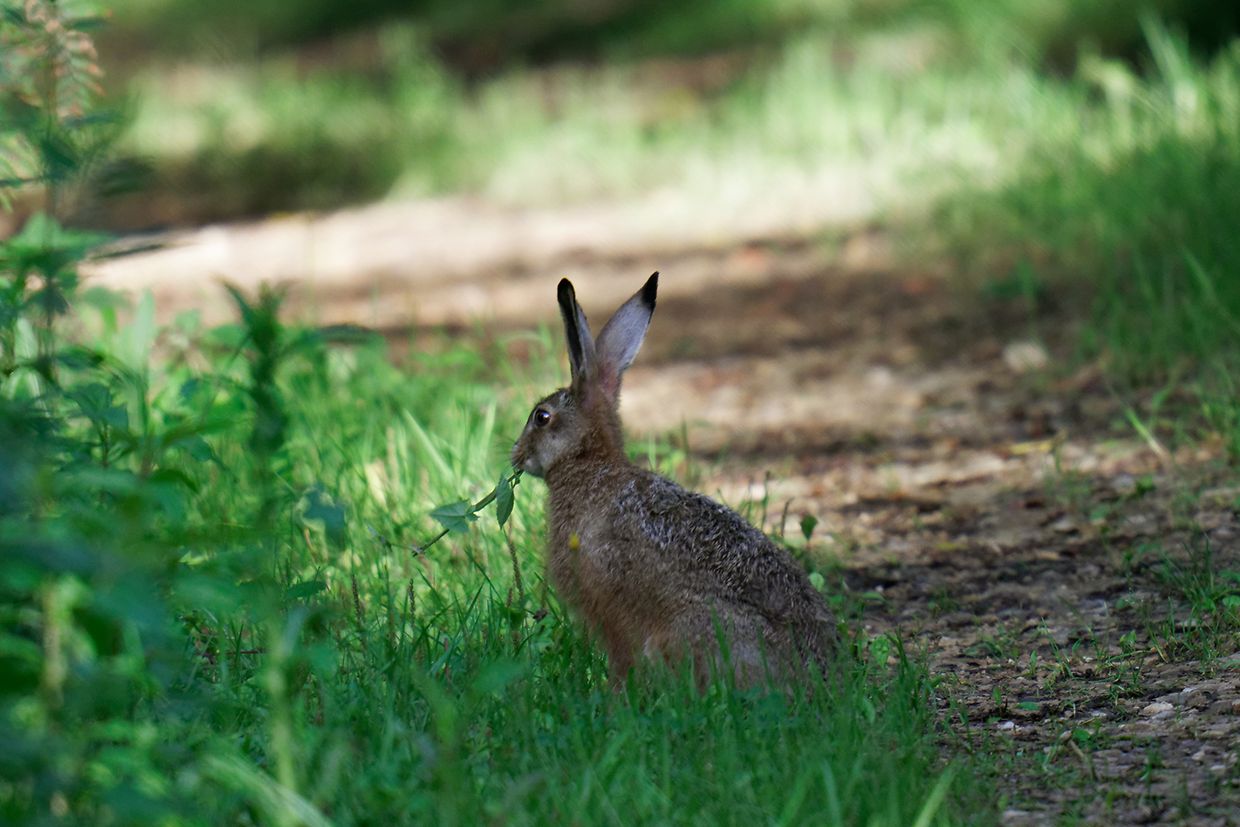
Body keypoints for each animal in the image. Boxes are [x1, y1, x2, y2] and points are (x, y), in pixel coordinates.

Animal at [511, 272, 837, 689]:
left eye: (542, 417)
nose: (516, 455)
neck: (589, 464)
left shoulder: (611, 609)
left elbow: (621, 660)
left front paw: (613, 696)